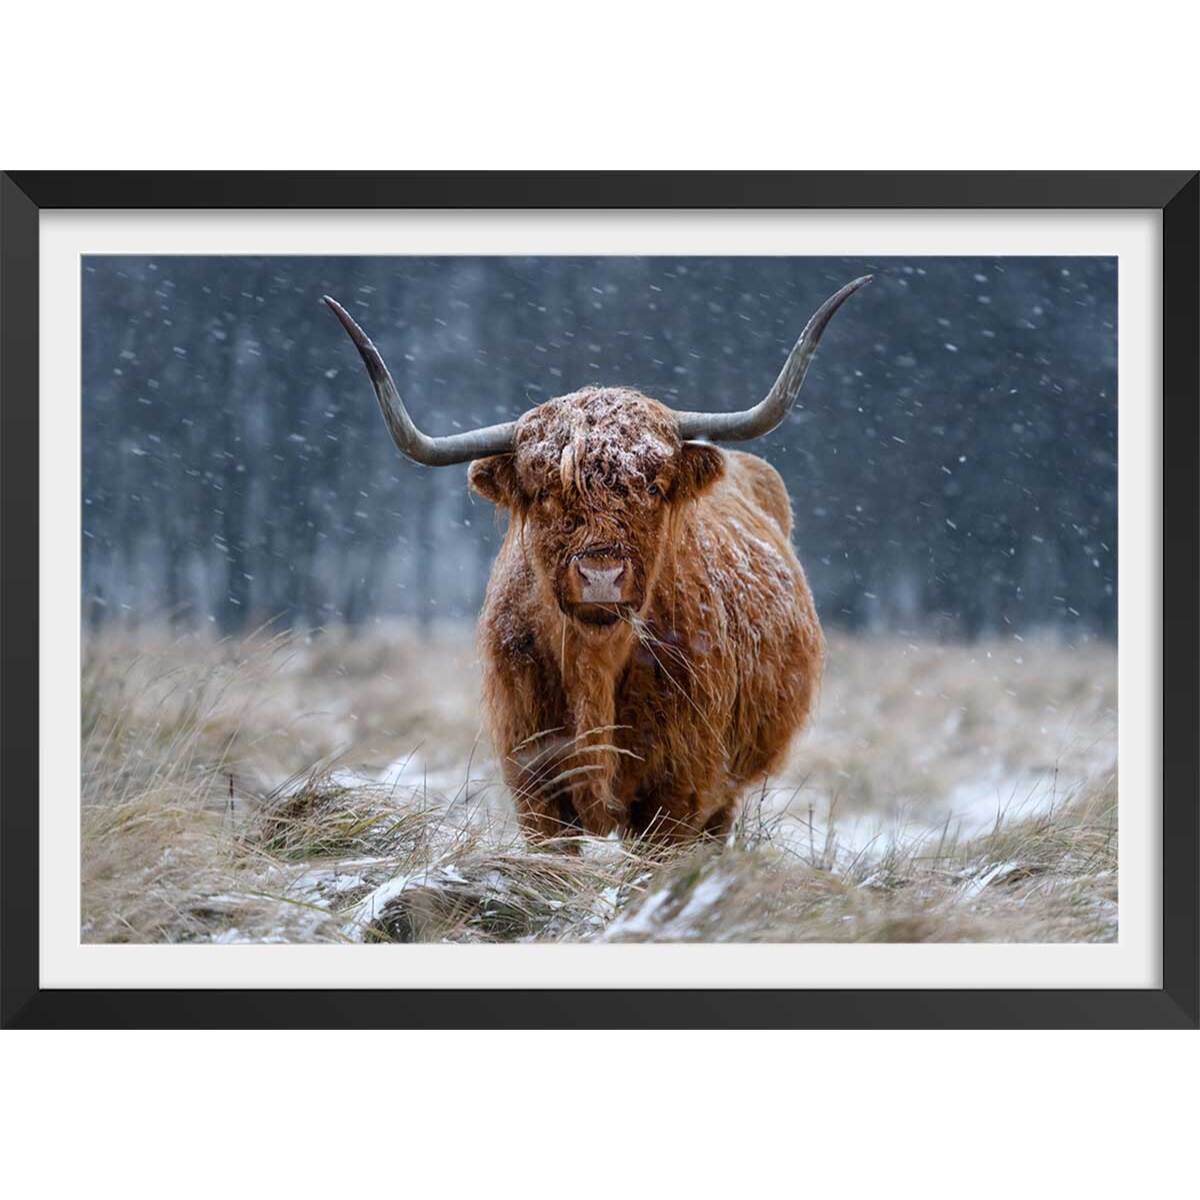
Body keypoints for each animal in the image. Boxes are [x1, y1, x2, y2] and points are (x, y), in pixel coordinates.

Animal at [325, 276, 870, 845]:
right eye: (545, 492)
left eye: (652, 487)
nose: (601, 576)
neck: (595, 665)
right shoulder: (535, 786)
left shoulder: (680, 791)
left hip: (724, 795)